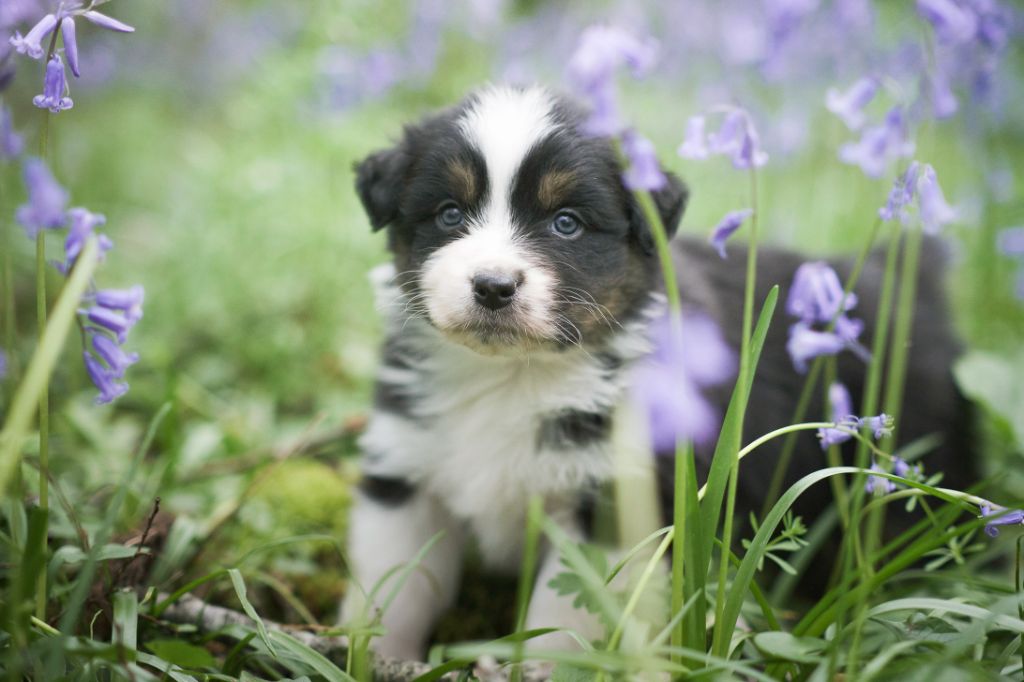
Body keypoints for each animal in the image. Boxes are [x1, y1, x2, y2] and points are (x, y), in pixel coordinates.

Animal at [339, 82, 970, 655]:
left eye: (566, 223)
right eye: (449, 213)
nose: (493, 286)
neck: (515, 377)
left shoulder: (613, 500)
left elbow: (562, 618)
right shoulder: (406, 471)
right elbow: (394, 587)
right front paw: (373, 656)